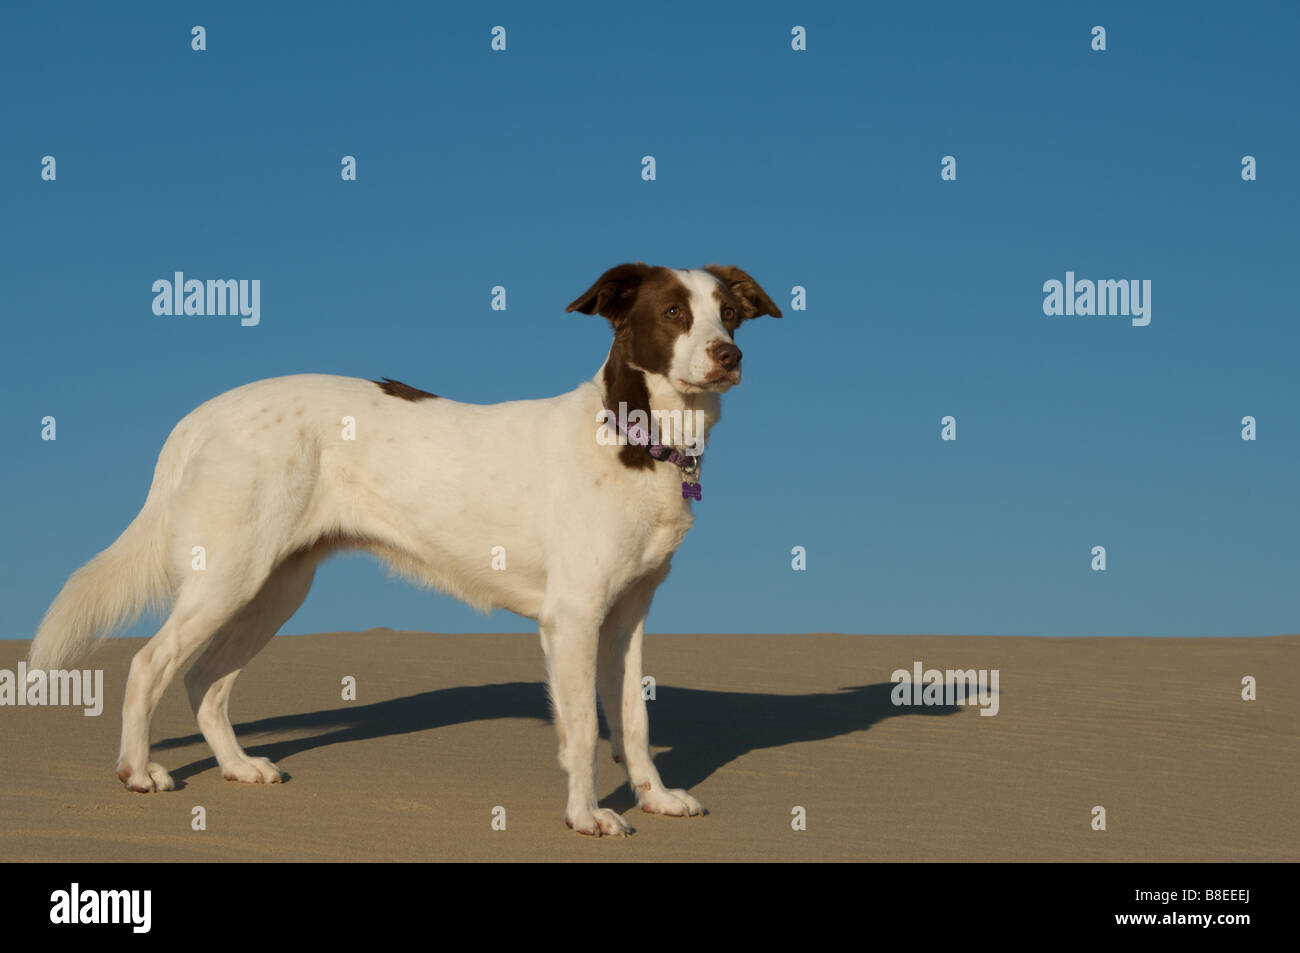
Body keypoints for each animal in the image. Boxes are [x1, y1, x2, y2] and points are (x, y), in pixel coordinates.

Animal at [27, 260, 780, 832]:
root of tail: (200, 415)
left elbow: (633, 720)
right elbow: (580, 735)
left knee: (204, 680)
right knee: (150, 663)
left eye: (728, 315)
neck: (634, 439)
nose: (730, 356)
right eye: (674, 313)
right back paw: (137, 771)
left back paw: (238, 766)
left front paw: (655, 797)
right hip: (231, 574)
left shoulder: (626, 619)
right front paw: (585, 815)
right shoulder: (572, 618)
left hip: (273, 587)